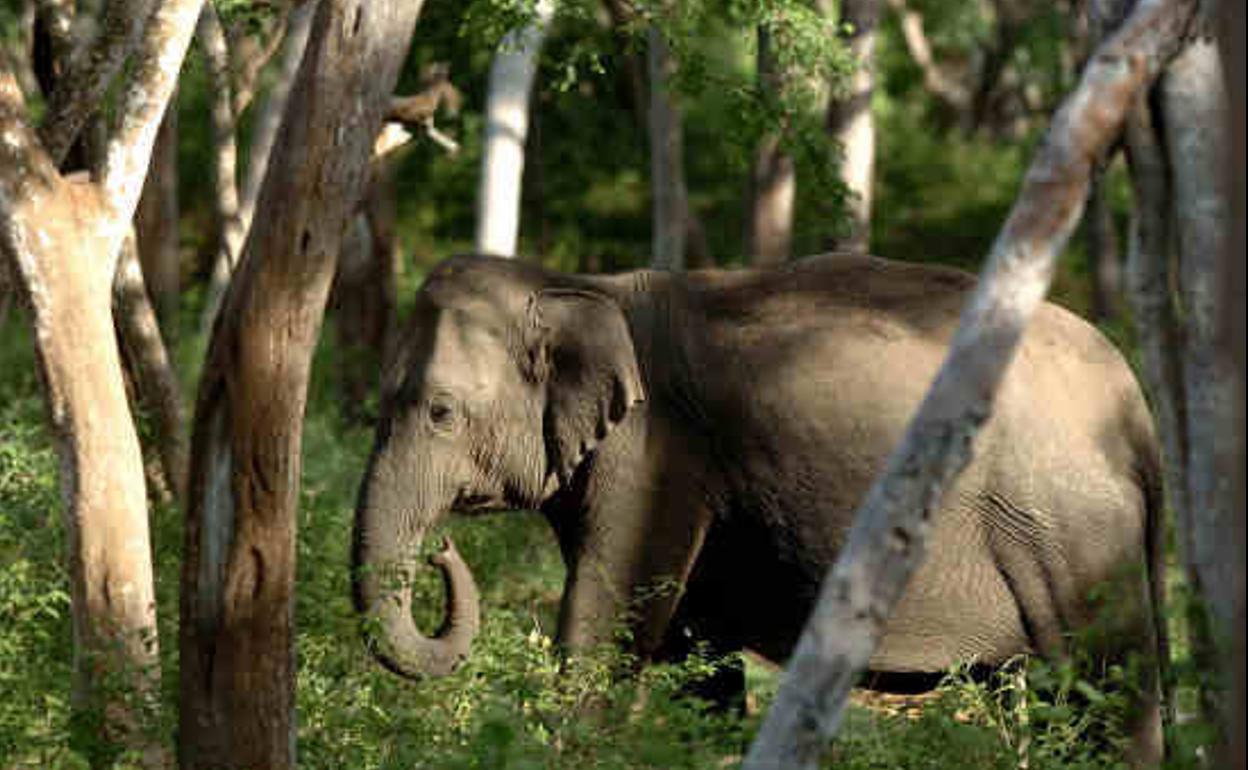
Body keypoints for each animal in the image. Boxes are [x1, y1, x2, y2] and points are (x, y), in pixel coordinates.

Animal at [351, 253, 1168, 763]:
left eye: (440, 413)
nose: (442, 550)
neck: (578, 284)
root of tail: (1136, 403)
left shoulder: (656, 457)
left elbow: (609, 616)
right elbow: (697, 652)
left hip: (1071, 534)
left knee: (1104, 689)